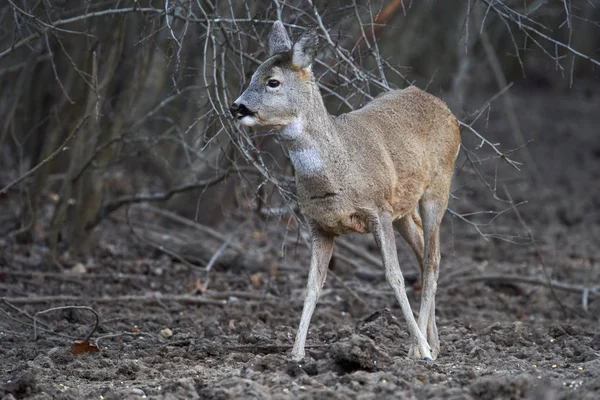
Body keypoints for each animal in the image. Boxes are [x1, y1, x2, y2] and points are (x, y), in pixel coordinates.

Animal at [230, 20, 460, 360]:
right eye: (251, 76)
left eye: (273, 81)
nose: (237, 107)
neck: (338, 172)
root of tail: (446, 109)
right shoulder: (318, 225)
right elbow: (313, 285)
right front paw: (296, 353)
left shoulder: (378, 209)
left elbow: (394, 276)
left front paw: (421, 349)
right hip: (403, 209)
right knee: (425, 253)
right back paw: (433, 342)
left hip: (438, 187)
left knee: (432, 260)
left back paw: (419, 349)